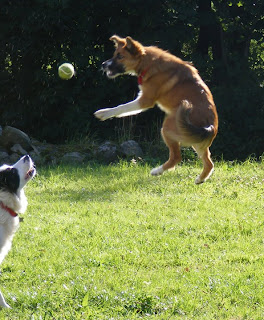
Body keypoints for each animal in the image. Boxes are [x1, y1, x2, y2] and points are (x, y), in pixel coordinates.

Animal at [95, 35, 219, 184]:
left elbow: (122, 107)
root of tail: (210, 126)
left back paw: (157, 171)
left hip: (167, 129)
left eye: (120, 56)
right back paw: (200, 179)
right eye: (114, 54)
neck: (147, 62)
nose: (103, 64)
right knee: (209, 163)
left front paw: (104, 113)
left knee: (176, 157)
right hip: (197, 143)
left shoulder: (145, 100)